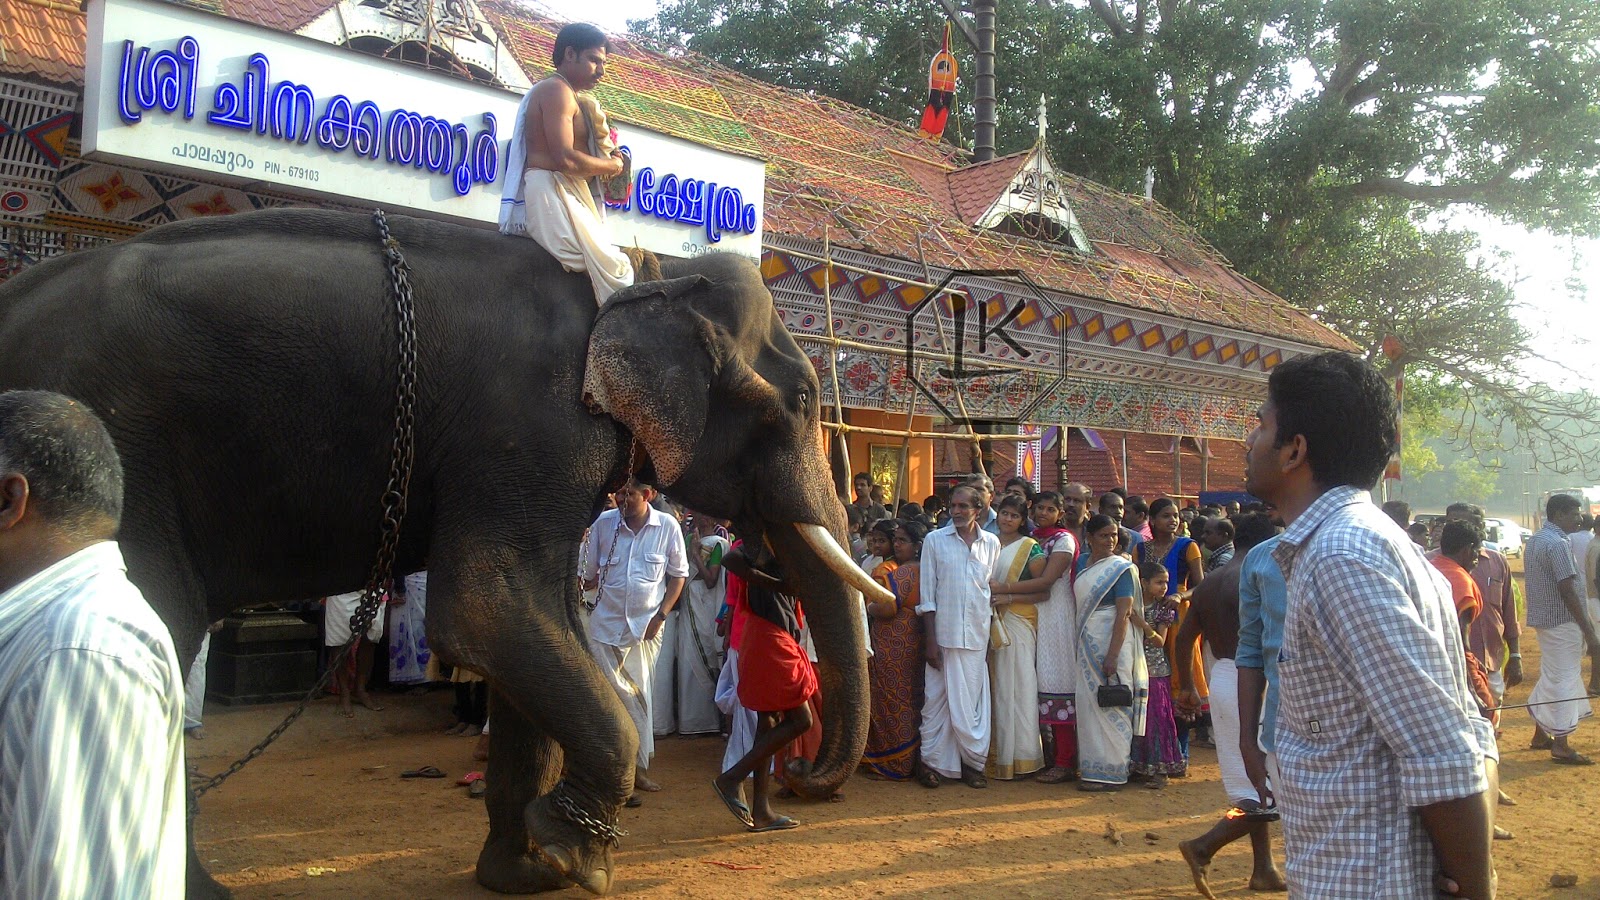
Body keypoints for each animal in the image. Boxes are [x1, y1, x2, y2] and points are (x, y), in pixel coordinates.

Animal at [0, 208, 891, 896]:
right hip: (126, 458)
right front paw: (579, 858)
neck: (644, 272)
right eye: (802, 402)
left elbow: (543, 627)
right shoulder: (533, 428)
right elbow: (488, 611)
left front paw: (525, 871)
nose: (805, 784)